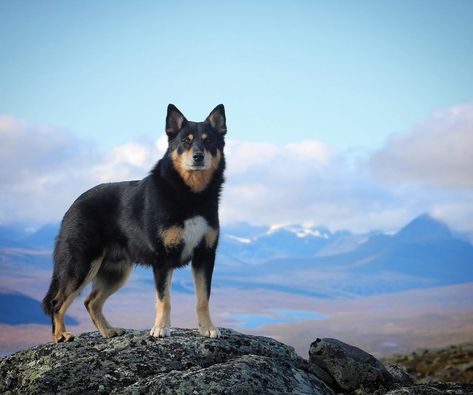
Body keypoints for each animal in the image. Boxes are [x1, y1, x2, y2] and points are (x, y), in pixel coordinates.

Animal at [41, 105, 226, 344]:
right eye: (186, 140)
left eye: (209, 141)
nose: (198, 156)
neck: (190, 194)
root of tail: (72, 206)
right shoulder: (163, 259)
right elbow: (164, 299)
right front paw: (160, 329)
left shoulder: (205, 255)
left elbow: (203, 299)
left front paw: (208, 328)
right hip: (81, 264)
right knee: (57, 301)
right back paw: (61, 335)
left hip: (116, 272)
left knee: (91, 302)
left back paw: (108, 331)